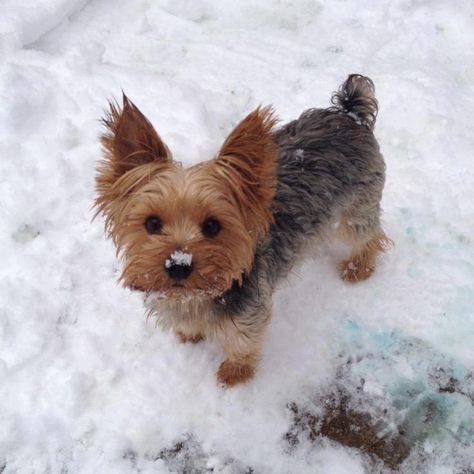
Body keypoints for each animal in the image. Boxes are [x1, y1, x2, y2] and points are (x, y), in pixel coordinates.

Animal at [94, 74, 390, 386]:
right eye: (152, 223)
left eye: (213, 226)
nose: (178, 265)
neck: (198, 295)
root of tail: (349, 114)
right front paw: (189, 334)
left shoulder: (251, 311)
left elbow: (243, 340)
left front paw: (234, 373)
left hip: (358, 206)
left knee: (369, 235)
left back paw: (358, 267)